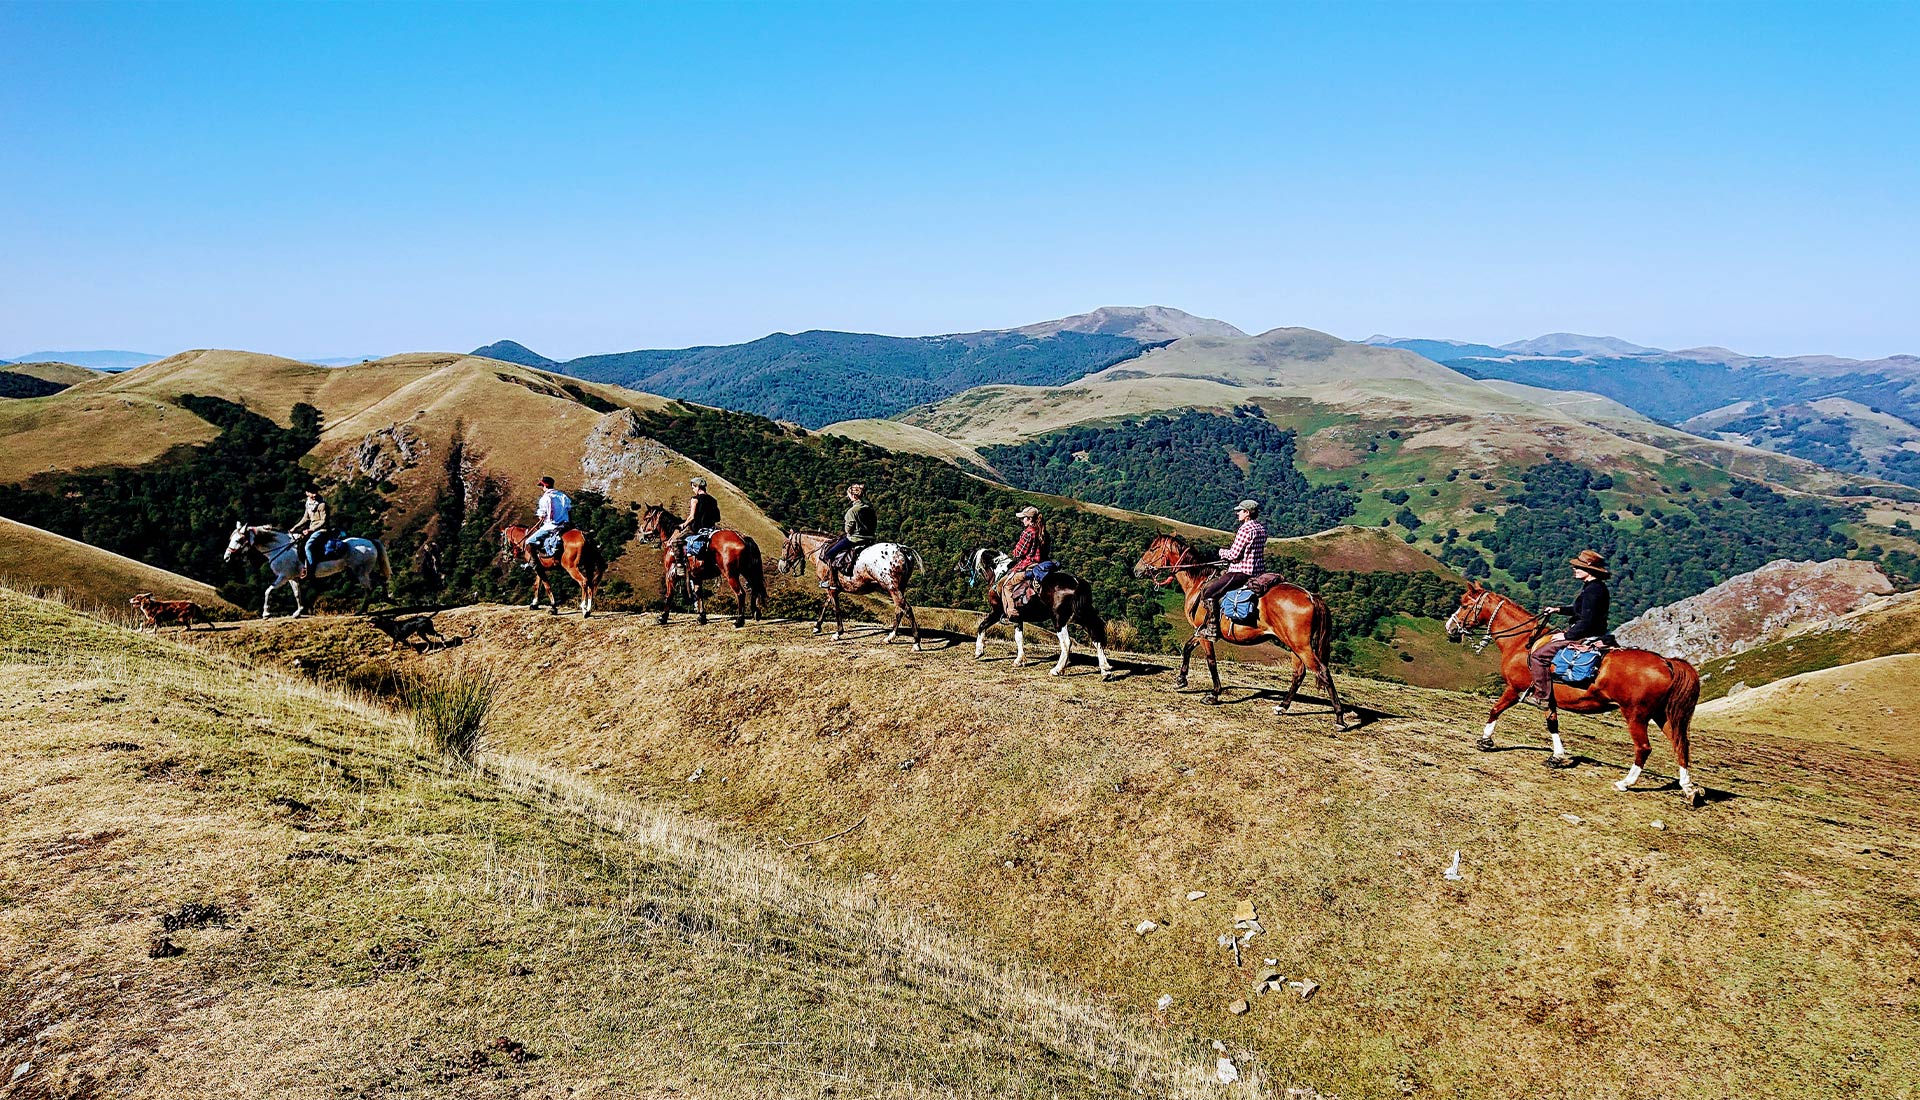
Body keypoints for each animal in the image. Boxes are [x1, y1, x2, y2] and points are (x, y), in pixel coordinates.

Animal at [779, 526, 929, 648]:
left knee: (906, 609)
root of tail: (901, 549)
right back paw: (890, 637)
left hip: (893, 588)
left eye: (785, 546)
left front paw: (838, 633)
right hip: (898, 588)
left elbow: (836, 608)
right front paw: (817, 627)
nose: (781, 567)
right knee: (899, 609)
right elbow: (826, 605)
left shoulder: (831, 588)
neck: (820, 551)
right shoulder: (832, 588)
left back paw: (916, 642)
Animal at [967, 549, 1121, 679]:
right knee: (1096, 637)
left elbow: (982, 626)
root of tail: (1077, 583)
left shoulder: (997, 611)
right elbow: (1019, 638)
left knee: (1067, 643)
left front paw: (979, 651)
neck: (1000, 574)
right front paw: (1019, 660)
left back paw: (1057, 670)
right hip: (1082, 617)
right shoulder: (1018, 618)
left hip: (1059, 619)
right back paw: (1105, 670)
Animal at [1121, 533, 1351, 729]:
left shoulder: (1206, 634)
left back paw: (1339, 718)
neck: (1198, 584)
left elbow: (1210, 661)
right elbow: (1186, 648)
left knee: (1322, 671)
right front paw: (1181, 680)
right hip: (1294, 645)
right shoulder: (1200, 631)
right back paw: (1282, 706)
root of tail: (1311, 596)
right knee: (1299, 673)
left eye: (1152, 548)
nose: (1137, 570)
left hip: (1301, 646)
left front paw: (1213, 694)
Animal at [1443, 579, 1704, 802]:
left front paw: (1485, 740)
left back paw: (1625, 783)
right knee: (1681, 744)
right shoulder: (1548, 698)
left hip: (1636, 715)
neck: (1523, 643)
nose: (1450, 627)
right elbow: (1552, 724)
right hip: (1663, 715)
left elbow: (1495, 710)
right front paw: (1557, 756)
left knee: (1644, 748)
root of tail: (1667, 662)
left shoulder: (1515, 689)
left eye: (1464, 604)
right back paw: (1689, 789)